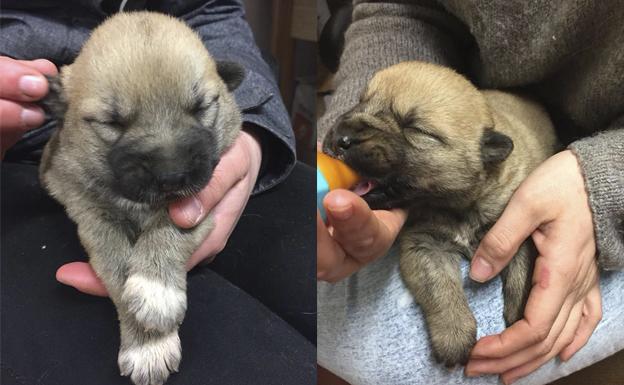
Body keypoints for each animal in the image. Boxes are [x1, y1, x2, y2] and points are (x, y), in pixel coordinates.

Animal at [39, 11, 244, 384]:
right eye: (112, 122)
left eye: (201, 107)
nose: (172, 176)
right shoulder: (90, 214)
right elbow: (119, 267)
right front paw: (147, 343)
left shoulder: (203, 201)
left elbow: (170, 229)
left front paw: (156, 289)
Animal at [324, 60, 560, 366]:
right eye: (360, 101)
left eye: (416, 128)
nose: (341, 138)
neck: (458, 204)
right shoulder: (424, 246)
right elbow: (440, 289)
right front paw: (454, 335)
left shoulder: (517, 229)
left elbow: (521, 274)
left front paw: (520, 317)